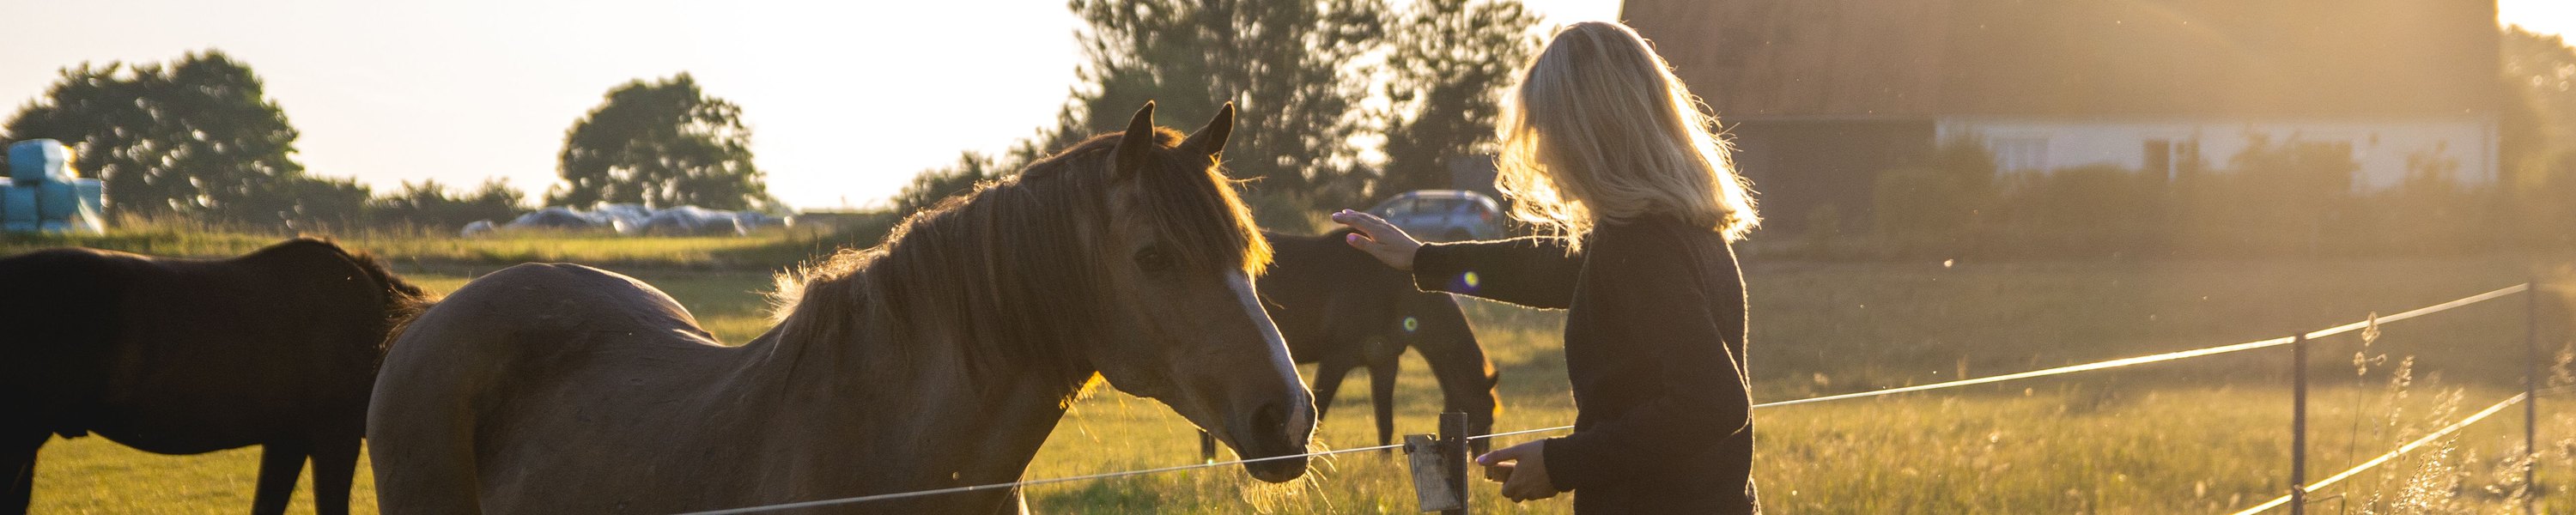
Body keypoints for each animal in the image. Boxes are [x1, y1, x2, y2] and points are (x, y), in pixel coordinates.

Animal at [1259, 229, 1499, 453]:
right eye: (1478, 415)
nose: (1481, 461)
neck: (1391, 290)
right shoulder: (1335, 361)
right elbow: (1319, 416)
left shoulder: (1385, 363)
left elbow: (1385, 425)